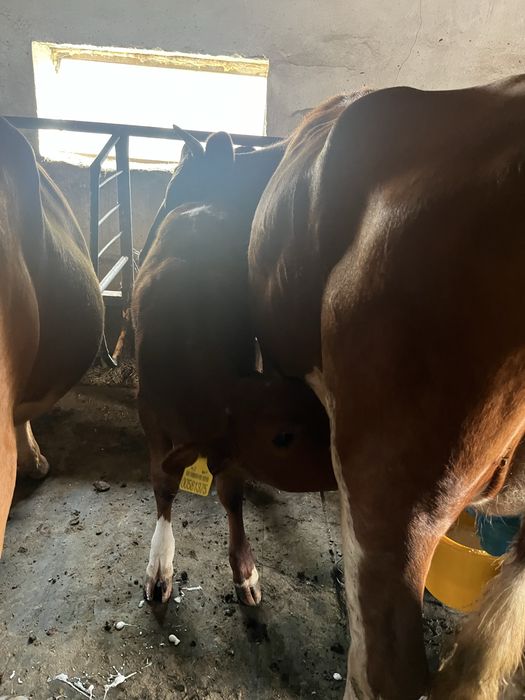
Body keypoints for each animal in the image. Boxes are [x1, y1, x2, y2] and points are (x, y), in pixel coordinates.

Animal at [133, 131, 335, 605]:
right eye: (283, 438)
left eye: (316, 405)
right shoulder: (148, 411)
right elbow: (163, 481)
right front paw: (159, 562)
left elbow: (230, 493)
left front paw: (244, 568)